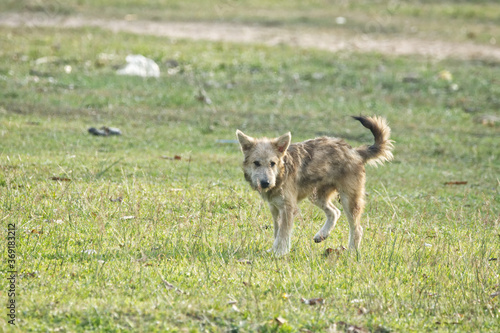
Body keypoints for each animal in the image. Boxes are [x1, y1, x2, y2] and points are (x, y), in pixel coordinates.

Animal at [236, 115, 392, 255]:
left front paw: (280, 252)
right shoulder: (275, 209)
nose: (265, 183)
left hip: (349, 200)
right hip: (317, 195)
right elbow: (277, 232)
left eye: (272, 163)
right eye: (256, 163)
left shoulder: (288, 208)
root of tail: (354, 151)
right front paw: (274, 250)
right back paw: (322, 235)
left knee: (357, 229)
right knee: (334, 212)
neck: (280, 174)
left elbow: (283, 233)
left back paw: (352, 252)